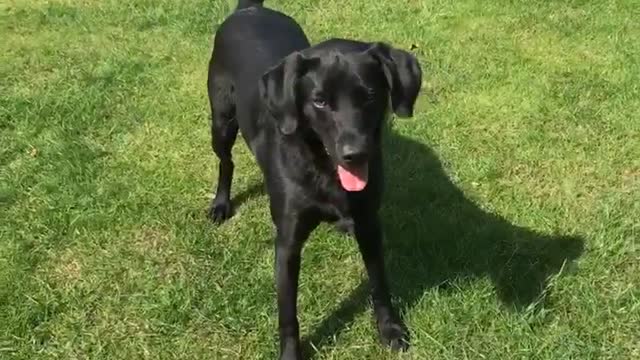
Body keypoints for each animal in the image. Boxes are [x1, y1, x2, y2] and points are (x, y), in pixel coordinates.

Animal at [205, 1, 422, 358]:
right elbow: (288, 315)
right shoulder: (287, 244)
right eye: (319, 101)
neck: (323, 168)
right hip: (221, 121)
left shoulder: (370, 225)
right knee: (226, 162)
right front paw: (290, 354)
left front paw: (390, 329)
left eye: (370, 95)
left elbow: (380, 283)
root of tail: (249, 9)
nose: (355, 154)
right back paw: (220, 204)